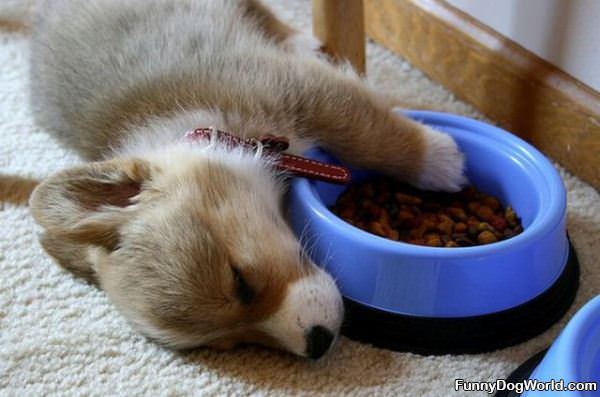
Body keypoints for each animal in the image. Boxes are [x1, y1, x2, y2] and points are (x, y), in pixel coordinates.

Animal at [23, 0, 466, 358]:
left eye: (241, 281)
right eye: (230, 343)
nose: (318, 343)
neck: (206, 129)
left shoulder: (301, 90)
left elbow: (370, 133)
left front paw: (442, 160)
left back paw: (300, 38)